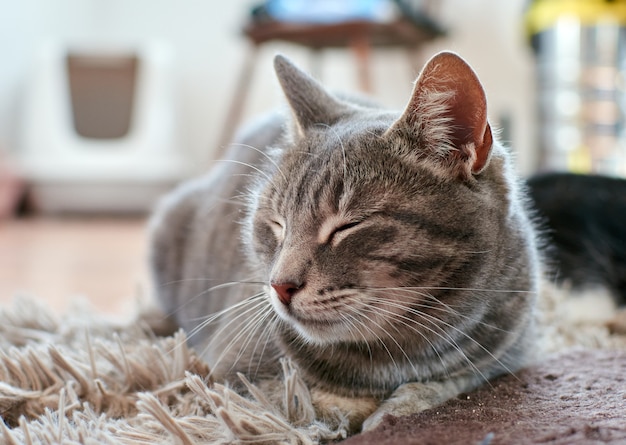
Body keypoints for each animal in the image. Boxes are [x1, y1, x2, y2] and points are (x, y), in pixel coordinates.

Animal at [149, 51, 540, 430]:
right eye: (277, 225)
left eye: (347, 226)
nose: (279, 286)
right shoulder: (232, 373)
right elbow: (298, 405)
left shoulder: (509, 356)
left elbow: (450, 384)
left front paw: (396, 408)